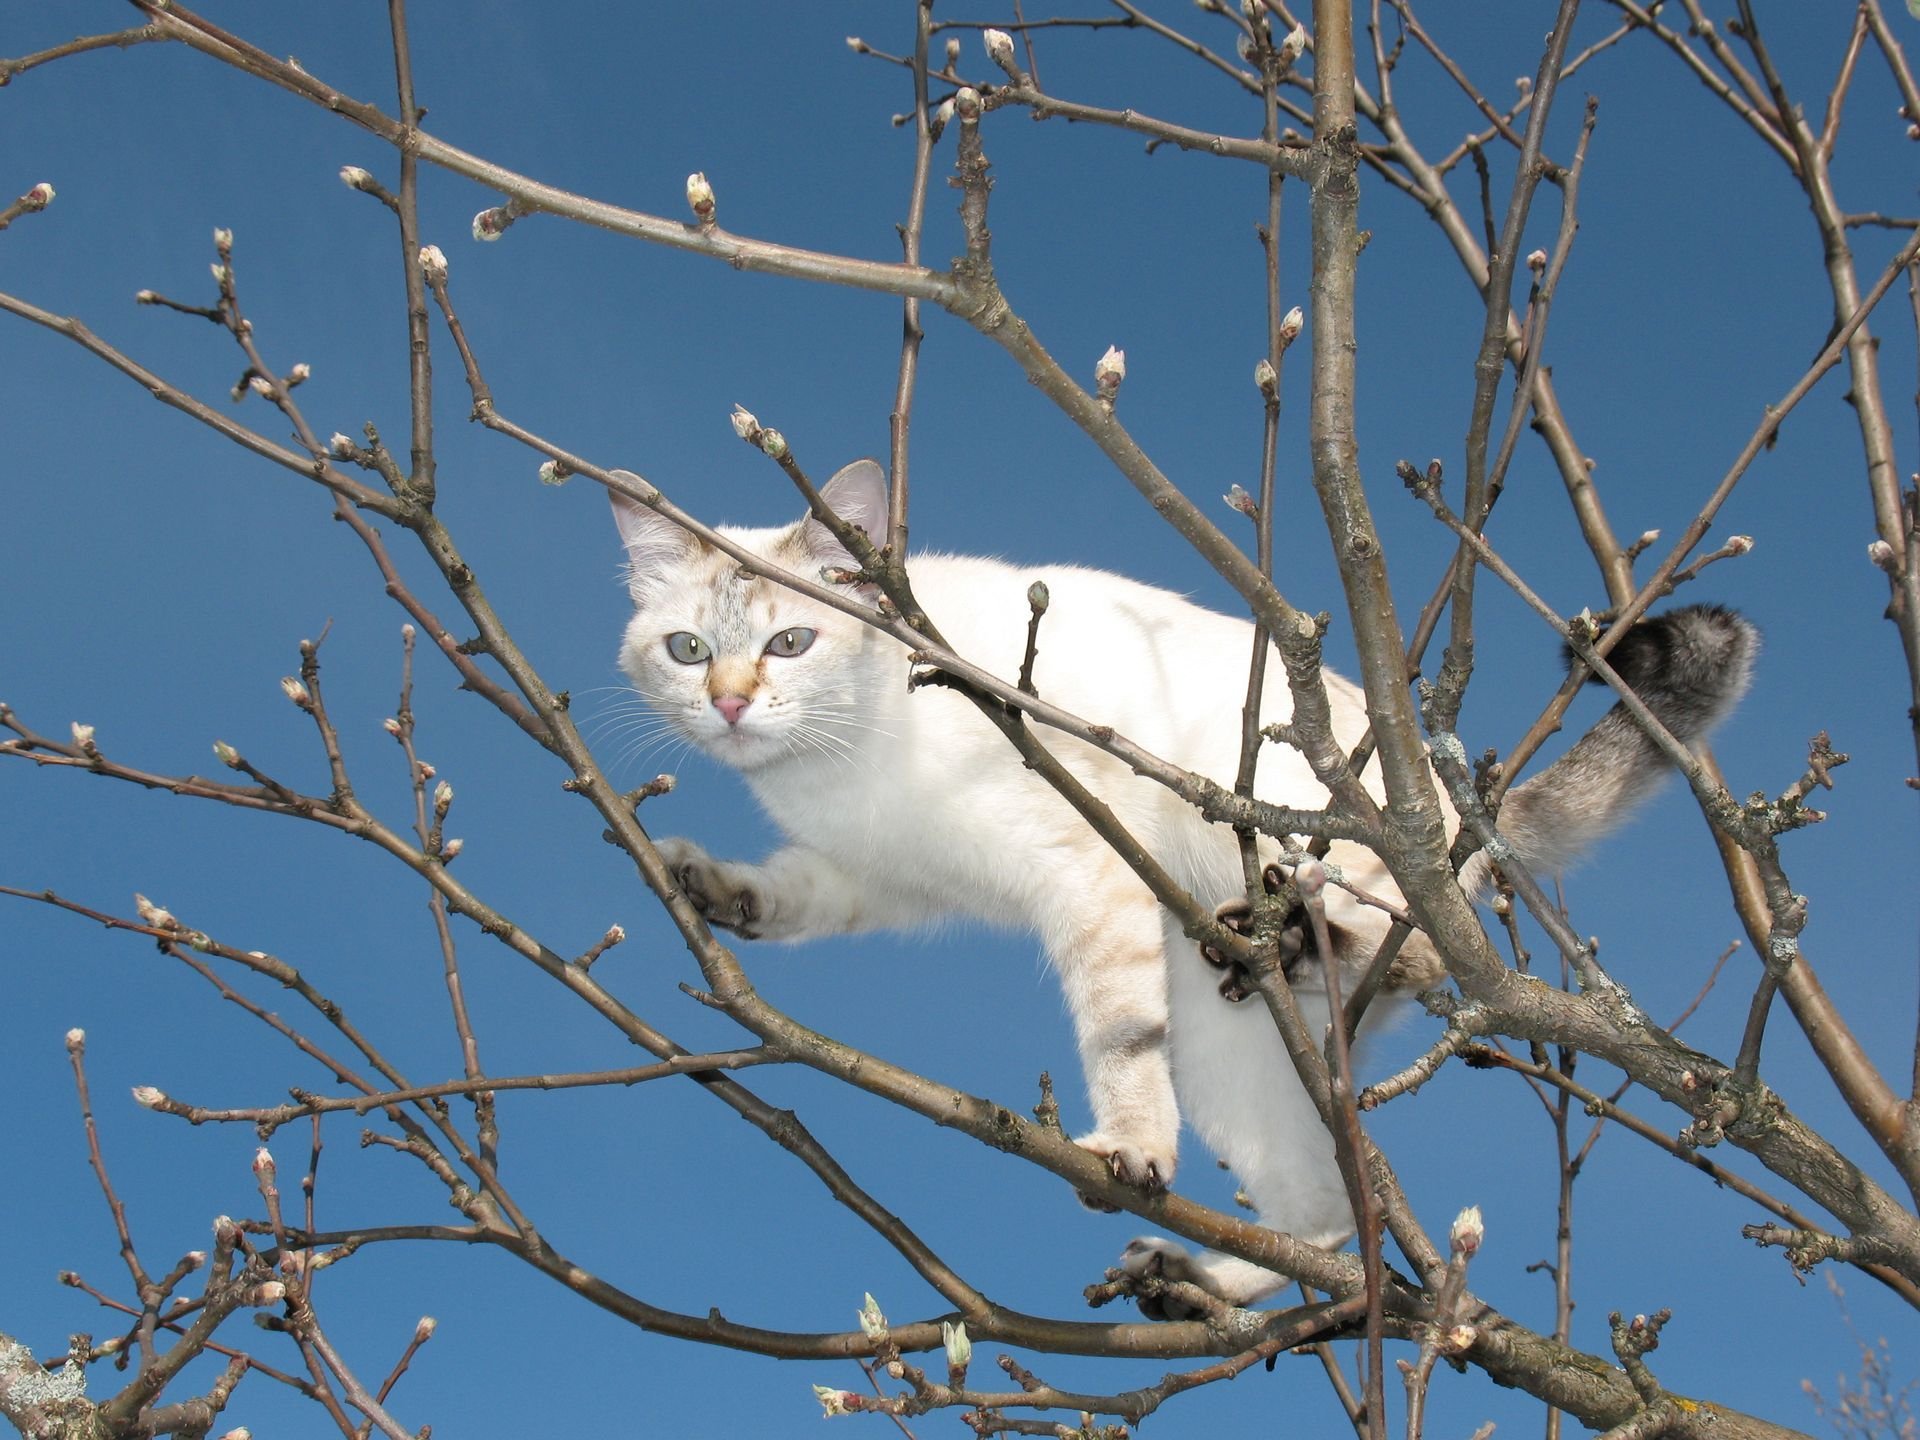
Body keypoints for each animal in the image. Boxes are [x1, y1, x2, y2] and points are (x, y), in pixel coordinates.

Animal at [610, 456, 1758, 1313]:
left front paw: (1127, 1152)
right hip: (1230, 1055)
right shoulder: (880, 874)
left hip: (1326, 857)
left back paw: (1300, 942)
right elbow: (791, 893)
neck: (841, 762)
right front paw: (713, 889)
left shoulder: (1084, 868)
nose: (729, 705)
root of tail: (1458, 797)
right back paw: (1198, 1277)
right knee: (1326, 1217)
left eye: (791, 640)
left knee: (1423, 950)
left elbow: (1118, 1044)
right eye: (687, 650)